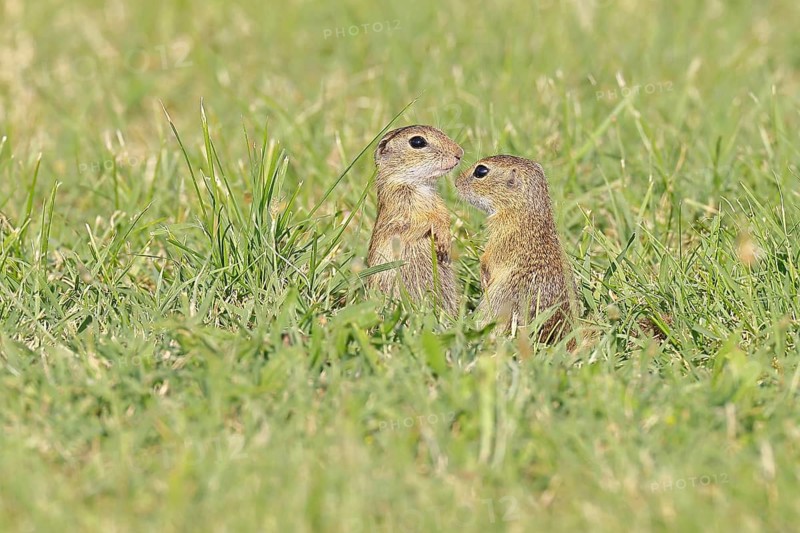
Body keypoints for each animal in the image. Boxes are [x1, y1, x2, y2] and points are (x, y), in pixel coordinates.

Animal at [366, 125, 464, 314]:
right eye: (417, 142)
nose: (459, 153)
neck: (420, 186)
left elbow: (443, 214)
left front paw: (446, 243)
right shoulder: (401, 209)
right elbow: (421, 221)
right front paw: (442, 237)